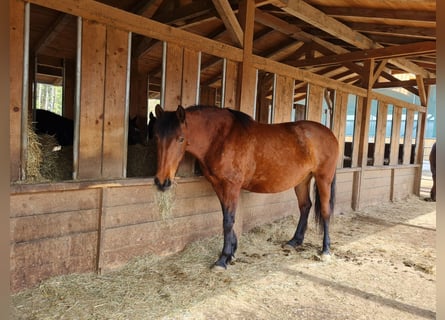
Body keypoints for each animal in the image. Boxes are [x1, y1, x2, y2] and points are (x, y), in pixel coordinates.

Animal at [153, 105, 336, 270]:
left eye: (180, 139)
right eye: (156, 137)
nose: (162, 182)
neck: (220, 138)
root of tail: (330, 134)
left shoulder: (231, 186)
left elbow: (228, 220)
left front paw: (223, 259)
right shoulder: (218, 185)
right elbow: (226, 217)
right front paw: (232, 252)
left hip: (323, 179)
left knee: (325, 211)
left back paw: (325, 250)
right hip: (302, 180)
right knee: (305, 206)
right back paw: (294, 241)